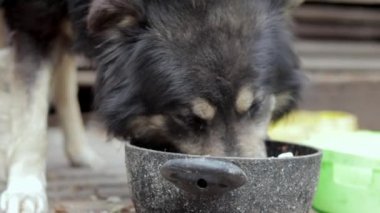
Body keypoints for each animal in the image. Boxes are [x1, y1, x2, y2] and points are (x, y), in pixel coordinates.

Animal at [0, 0, 302, 211]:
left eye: (256, 106)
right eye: (190, 119)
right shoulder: (34, 22)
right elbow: (31, 117)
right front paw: (25, 190)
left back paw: (80, 153)